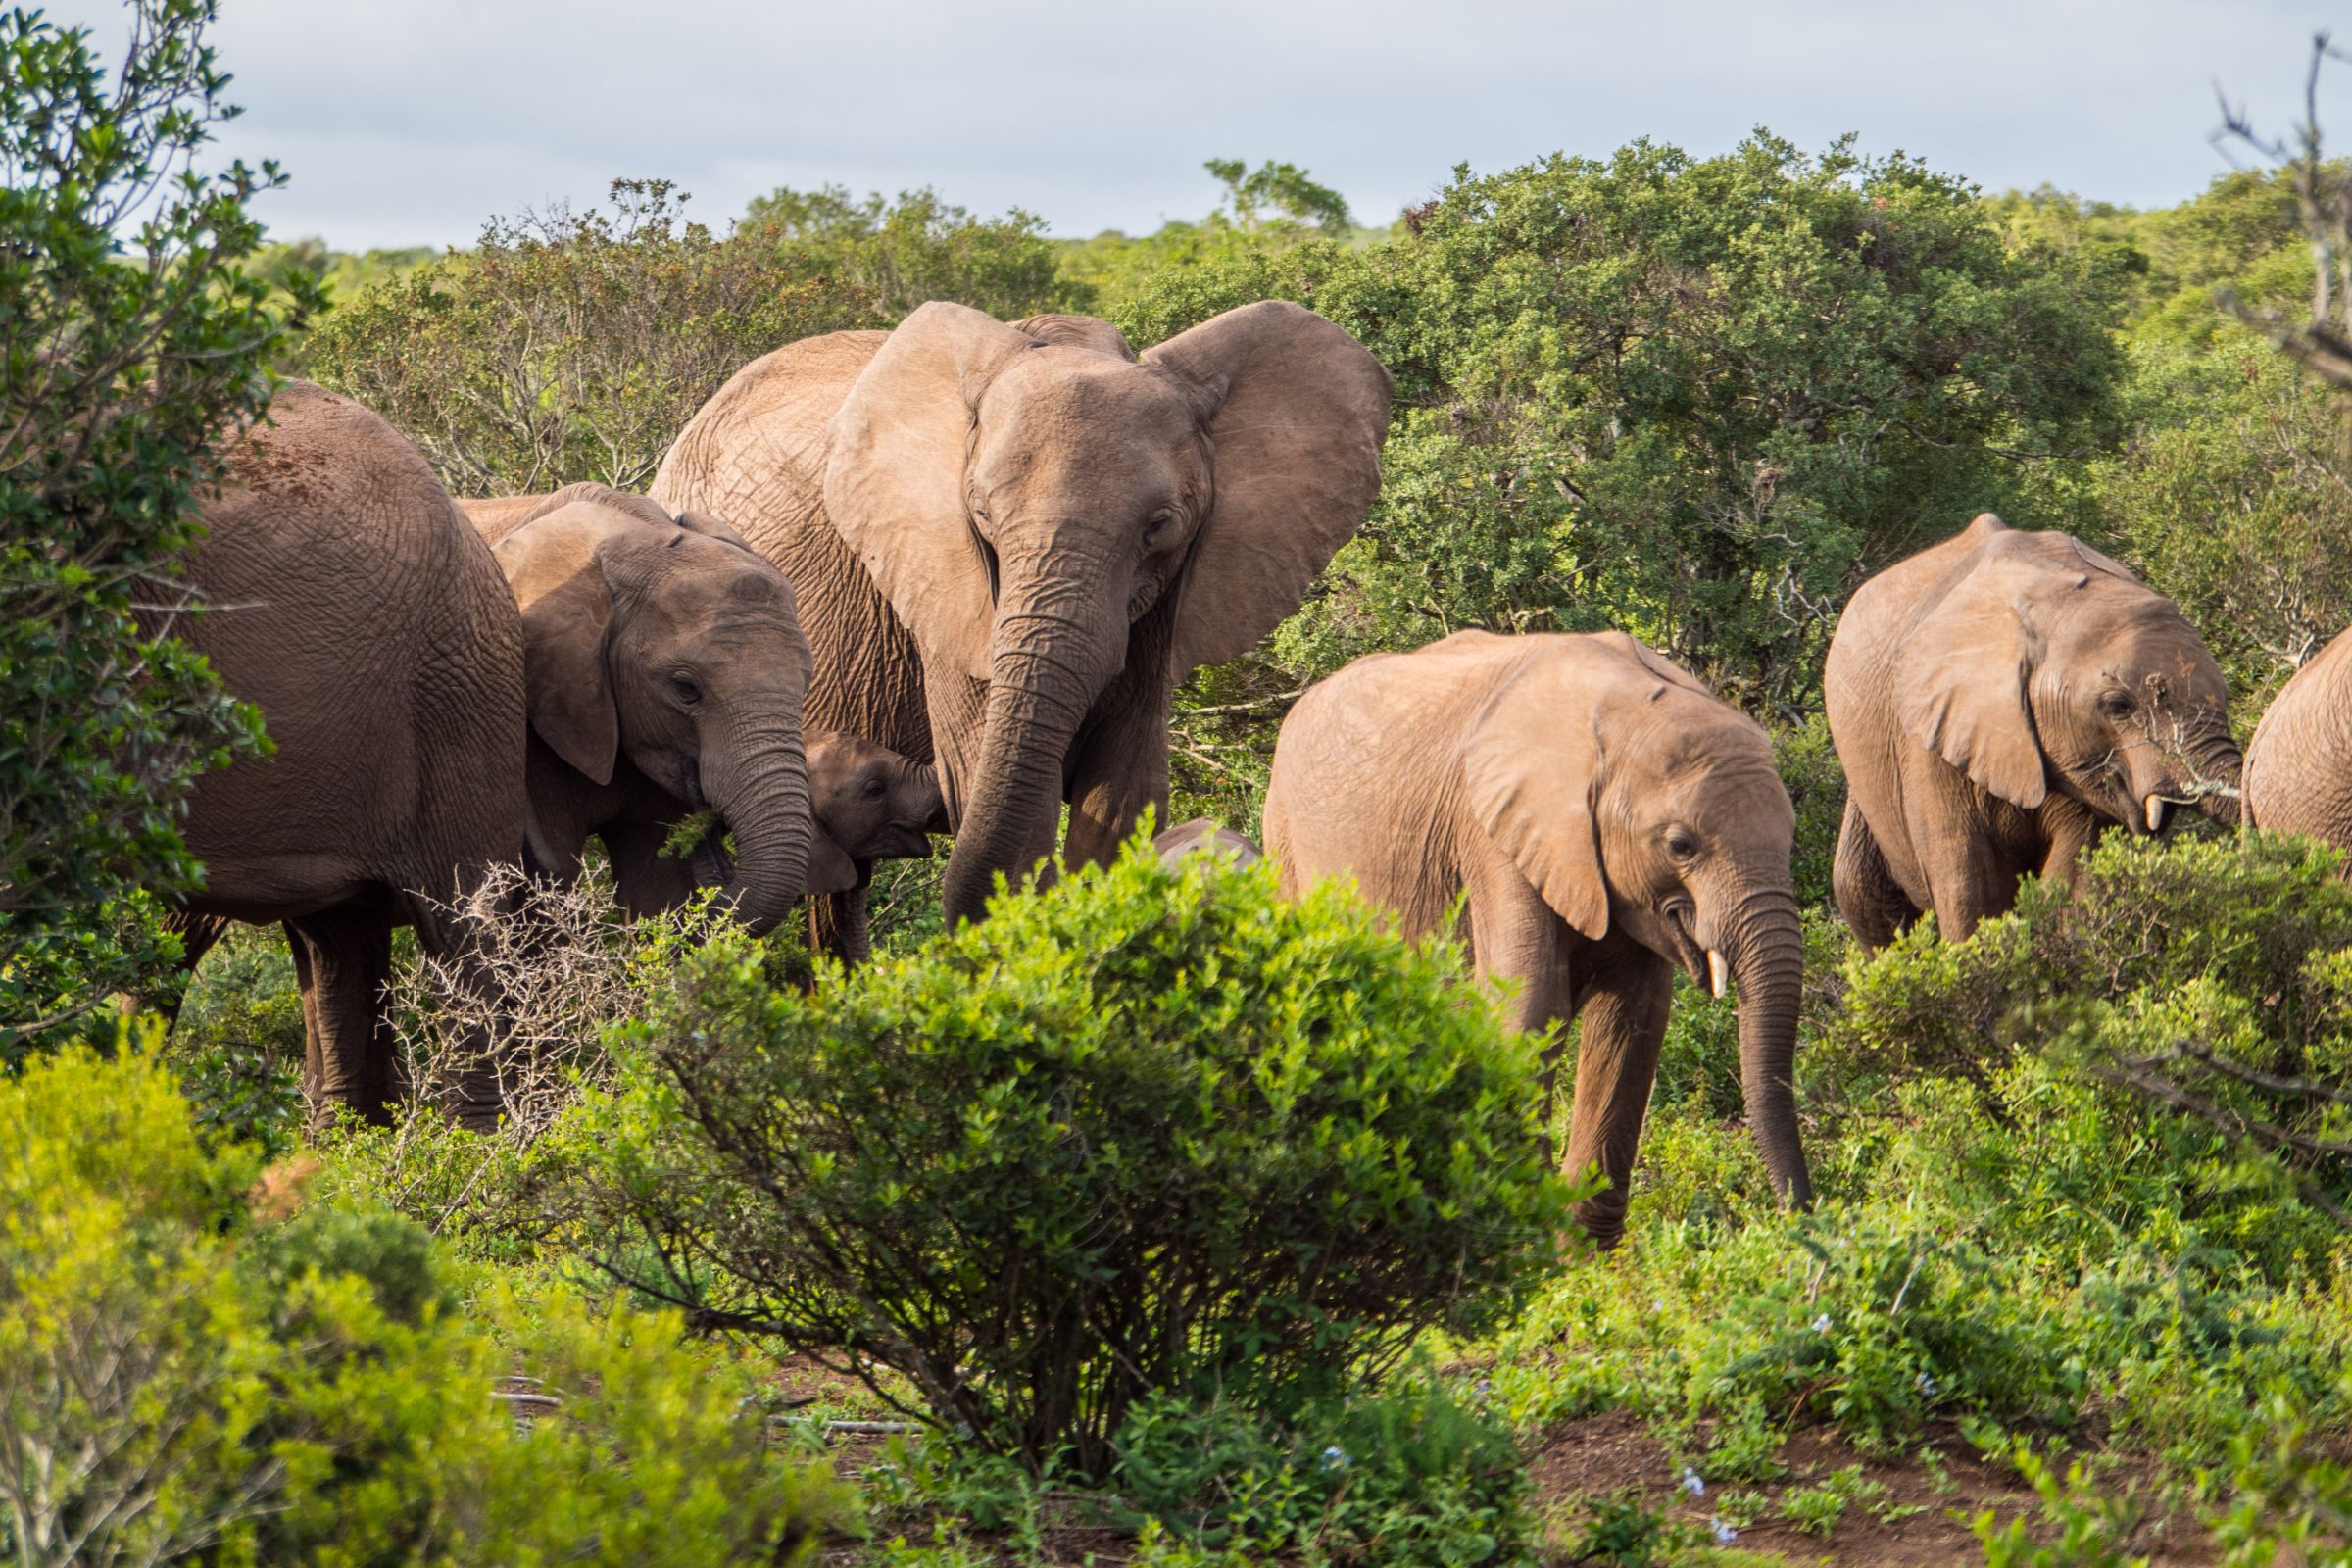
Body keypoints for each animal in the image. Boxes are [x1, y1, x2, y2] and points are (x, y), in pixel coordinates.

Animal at [654, 303, 1383, 950]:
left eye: (1159, 527)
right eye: (980, 514)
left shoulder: (1170, 602)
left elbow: (1122, 796)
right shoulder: (946, 591)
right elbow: (997, 786)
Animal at [1260, 629, 1806, 1250]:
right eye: (1680, 845)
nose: (1800, 1219)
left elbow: (1633, 1021)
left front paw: (1583, 1257)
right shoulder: (1494, 835)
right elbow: (1530, 1004)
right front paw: (1526, 1239)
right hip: (1284, 844)